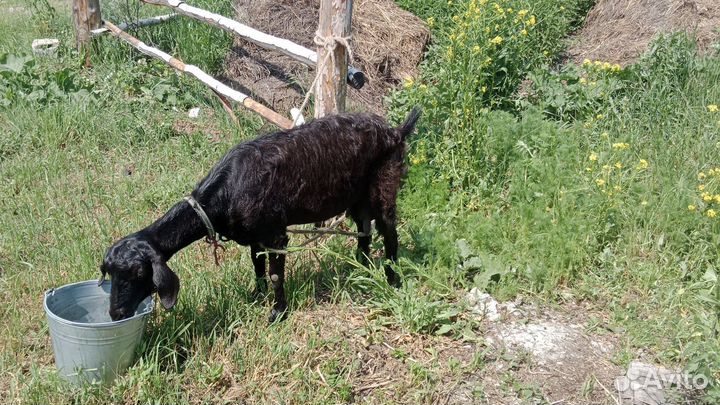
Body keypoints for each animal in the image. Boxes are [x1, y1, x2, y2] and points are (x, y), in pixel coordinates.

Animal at [100, 108, 421, 322]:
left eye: (138, 273)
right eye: (110, 272)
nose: (116, 313)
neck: (224, 191)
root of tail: (395, 131)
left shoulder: (276, 233)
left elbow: (276, 274)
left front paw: (277, 312)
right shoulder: (254, 234)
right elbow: (257, 264)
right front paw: (256, 295)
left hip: (385, 184)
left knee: (389, 231)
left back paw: (393, 279)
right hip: (356, 197)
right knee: (364, 230)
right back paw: (360, 268)